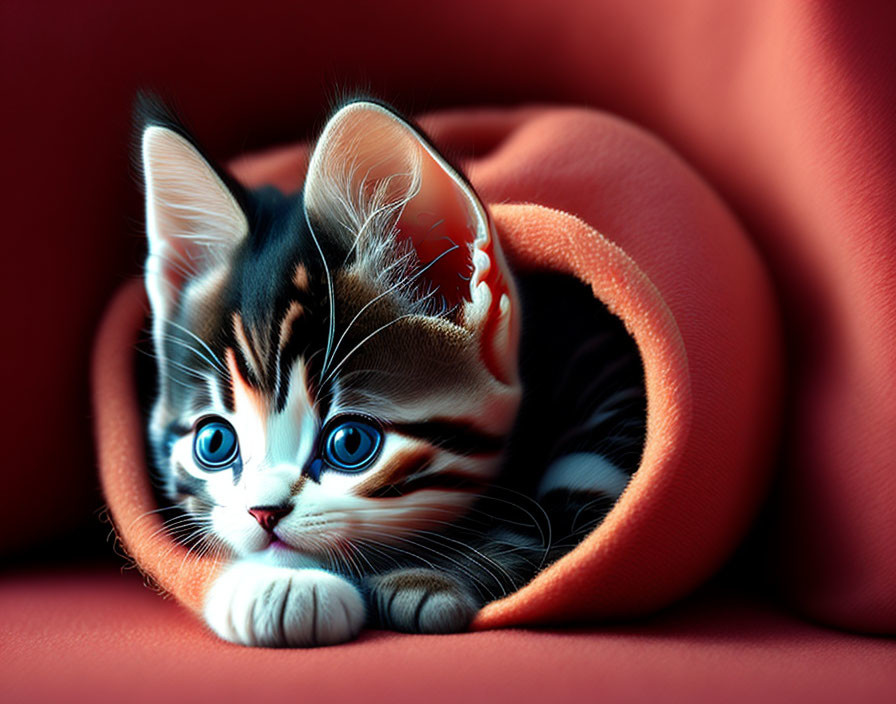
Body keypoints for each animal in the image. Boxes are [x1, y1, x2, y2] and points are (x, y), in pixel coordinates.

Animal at [140, 96, 644, 648]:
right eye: (214, 443)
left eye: (351, 443)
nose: (263, 512)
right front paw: (276, 584)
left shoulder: (612, 378)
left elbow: (571, 503)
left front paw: (429, 580)